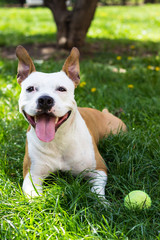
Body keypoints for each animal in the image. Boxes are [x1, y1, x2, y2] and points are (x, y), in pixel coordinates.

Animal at [15, 45, 126, 199]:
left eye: (61, 89)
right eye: (30, 88)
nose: (45, 100)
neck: (58, 140)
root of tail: (104, 112)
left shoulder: (99, 169)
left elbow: (97, 191)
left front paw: (103, 202)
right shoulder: (32, 175)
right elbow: (34, 197)